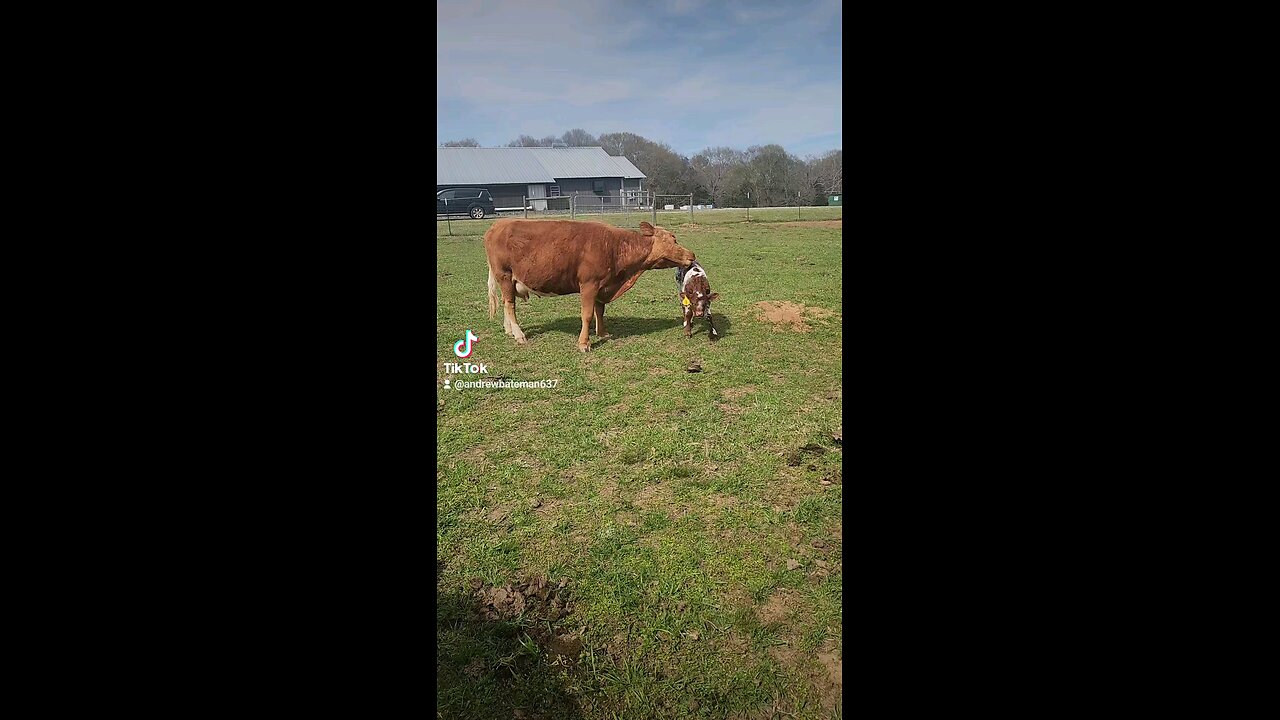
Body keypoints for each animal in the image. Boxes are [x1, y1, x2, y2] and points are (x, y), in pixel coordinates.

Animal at [483, 220, 696, 351]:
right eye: (673, 239)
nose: (692, 254)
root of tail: (499, 224)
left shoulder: (603, 285)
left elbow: (599, 310)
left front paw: (603, 333)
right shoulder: (589, 284)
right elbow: (587, 314)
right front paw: (584, 343)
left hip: (507, 280)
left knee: (506, 303)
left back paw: (509, 330)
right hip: (504, 275)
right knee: (510, 305)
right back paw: (519, 334)